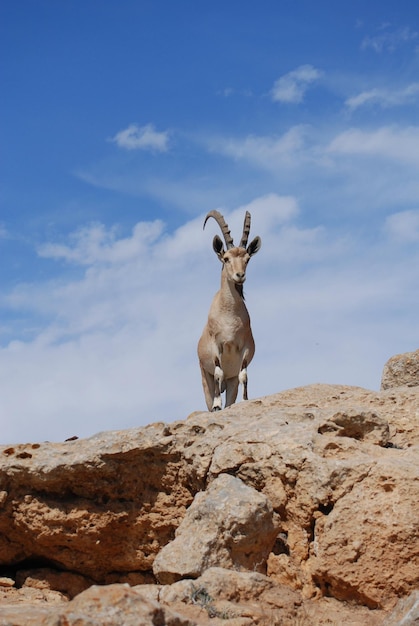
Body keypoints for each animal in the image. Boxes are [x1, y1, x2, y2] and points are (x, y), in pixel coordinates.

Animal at [198, 210, 262, 410]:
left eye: (247, 259)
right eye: (226, 258)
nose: (239, 276)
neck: (229, 317)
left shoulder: (245, 347)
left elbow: (244, 375)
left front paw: (246, 400)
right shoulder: (216, 345)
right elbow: (219, 372)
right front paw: (217, 404)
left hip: (231, 381)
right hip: (205, 377)